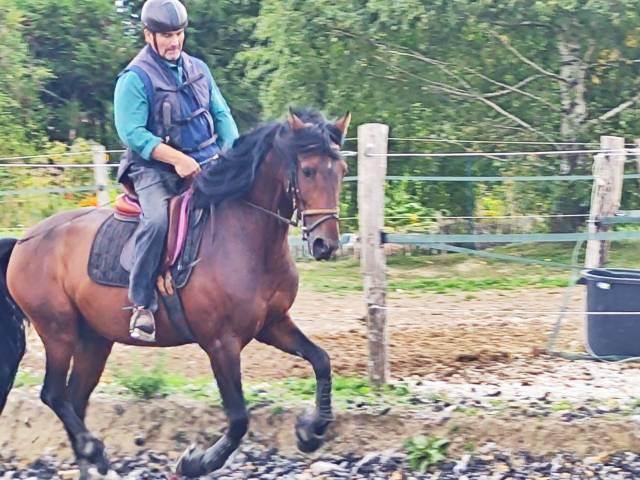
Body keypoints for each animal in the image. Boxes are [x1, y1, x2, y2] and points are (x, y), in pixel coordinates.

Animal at [0, 108, 351, 478]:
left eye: (342, 170)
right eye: (308, 170)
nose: (325, 244)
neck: (245, 237)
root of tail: (24, 241)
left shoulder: (273, 324)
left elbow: (321, 360)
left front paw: (311, 431)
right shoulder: (221, 343)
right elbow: (239, 418)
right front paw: (196, 461)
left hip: (94, 340)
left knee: (75, 399)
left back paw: (91, 463)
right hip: (58, 331)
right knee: (54, 395)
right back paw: (96, 452)